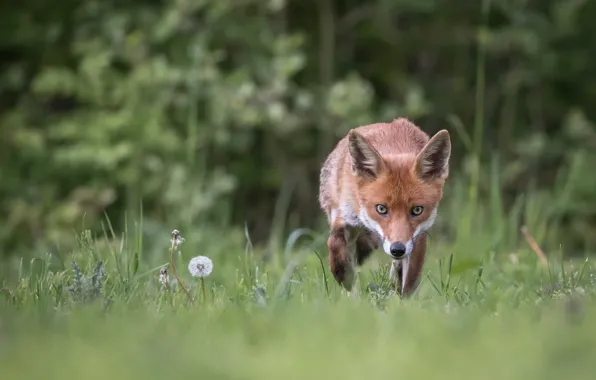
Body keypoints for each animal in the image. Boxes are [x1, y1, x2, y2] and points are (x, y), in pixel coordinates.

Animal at [318, 118, 450, 296]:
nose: (398, 249)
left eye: (417, 210)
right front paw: (346, 284)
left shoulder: (418, 237)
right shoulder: (345, 217)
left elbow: (409, 282)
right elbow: (335, 246)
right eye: (381, 209)